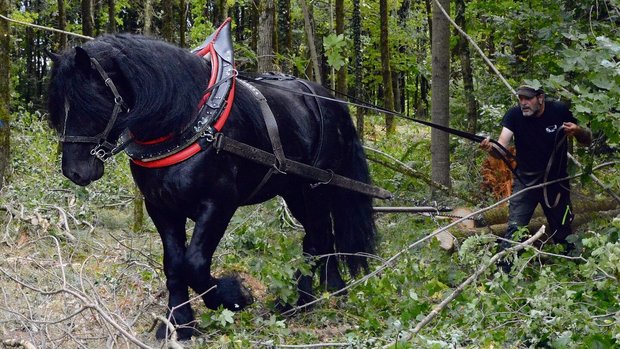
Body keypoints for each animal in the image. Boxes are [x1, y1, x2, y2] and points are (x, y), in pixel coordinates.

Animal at [46, 27, 376, 340]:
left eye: (89, 102)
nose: (74, 171)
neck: (185, 123)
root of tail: (328, 101)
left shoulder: (218, 204)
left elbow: (194, 263)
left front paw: (233, 296)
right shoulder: (161, 207)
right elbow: (174, 264)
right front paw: (179, 324)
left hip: (315, 188)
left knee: (319, 238)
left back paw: (309, 298)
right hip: (294, 191)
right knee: (320, 238)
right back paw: (321, 295)